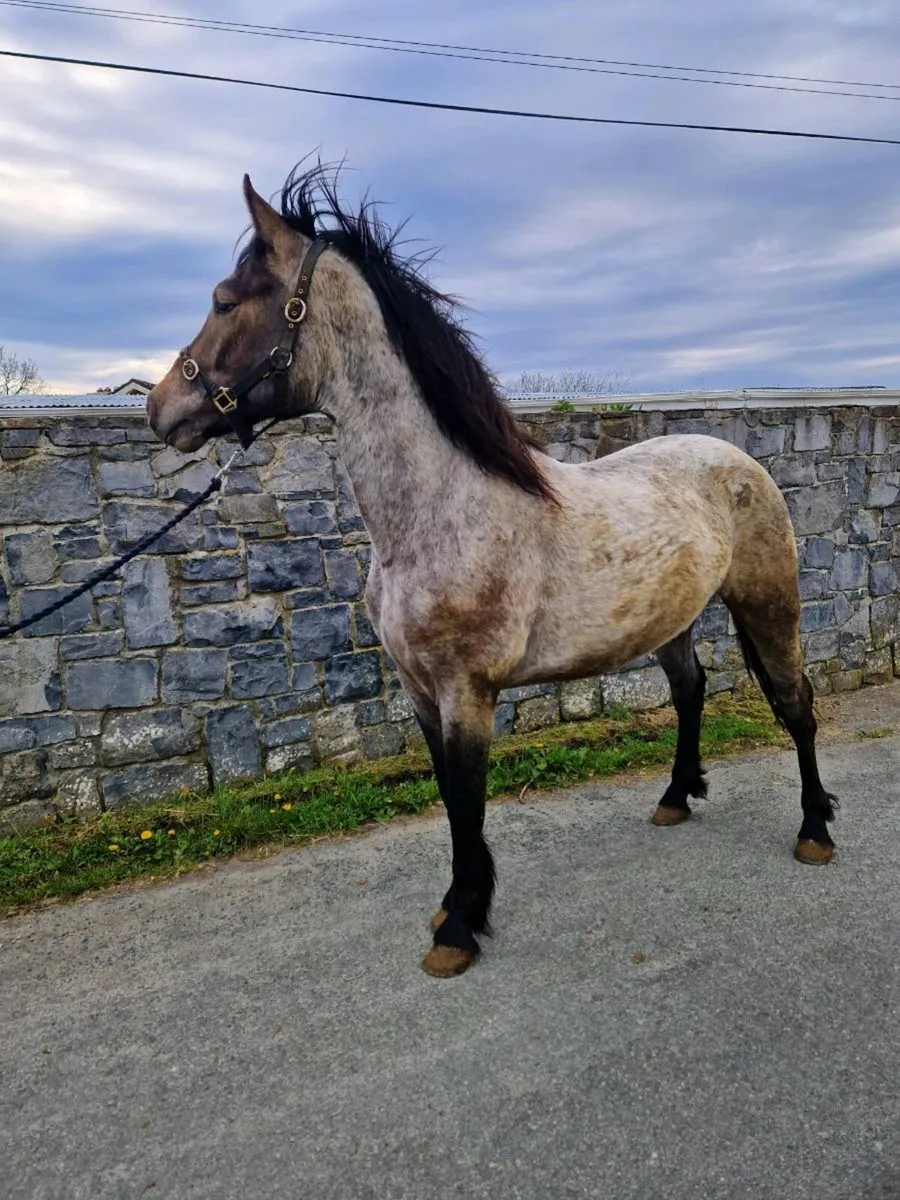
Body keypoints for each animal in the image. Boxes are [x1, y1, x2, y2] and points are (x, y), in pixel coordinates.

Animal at [148, 161, 839, 978]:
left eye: (225, 301)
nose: (161, 409)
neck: (440, 513)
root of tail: (737, 461)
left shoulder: (467, 693)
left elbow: (469, 803)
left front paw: (458, 930)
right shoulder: (421, 692)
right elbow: (451, 800)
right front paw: (458, 905)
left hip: (769, 603)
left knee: (796, 705)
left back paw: (816, 831)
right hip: (669, 622)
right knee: (691, 691)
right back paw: (675, 797)